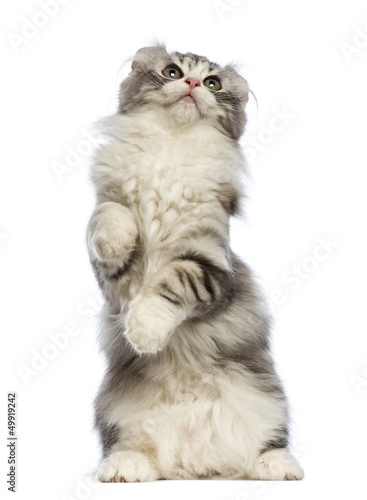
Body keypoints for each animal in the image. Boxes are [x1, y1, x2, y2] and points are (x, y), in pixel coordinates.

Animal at [87, 45, 304, 482]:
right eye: (173, 72)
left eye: (213, 83)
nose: (190, 84)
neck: (172, 148)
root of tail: (195, 465)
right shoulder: (111, 277)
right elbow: (110, 217)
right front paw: (119, 239)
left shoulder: (212, 264)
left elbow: (170, 285)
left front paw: (145, 333)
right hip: (112, 408)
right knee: (128, 447)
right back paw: (124, 467)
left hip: (269, 398)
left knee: (269, 442)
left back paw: (279, 467)